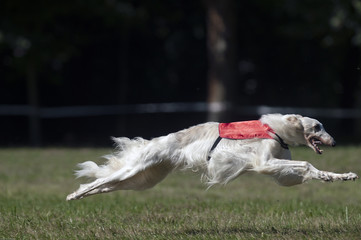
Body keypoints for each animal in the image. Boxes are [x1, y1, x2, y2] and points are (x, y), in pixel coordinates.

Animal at [67, 113, 358, 200]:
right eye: (317, 127)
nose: (334, 142)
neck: (276, 129)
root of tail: (156, 141)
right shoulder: (265, 162)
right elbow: (307, 162)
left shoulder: (280, 170)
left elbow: (310, 170)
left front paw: (342, 176)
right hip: (135, 169)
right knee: (97, 182)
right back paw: (73, 194)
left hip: (144, 179)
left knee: (105, 186)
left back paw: (80, 195)